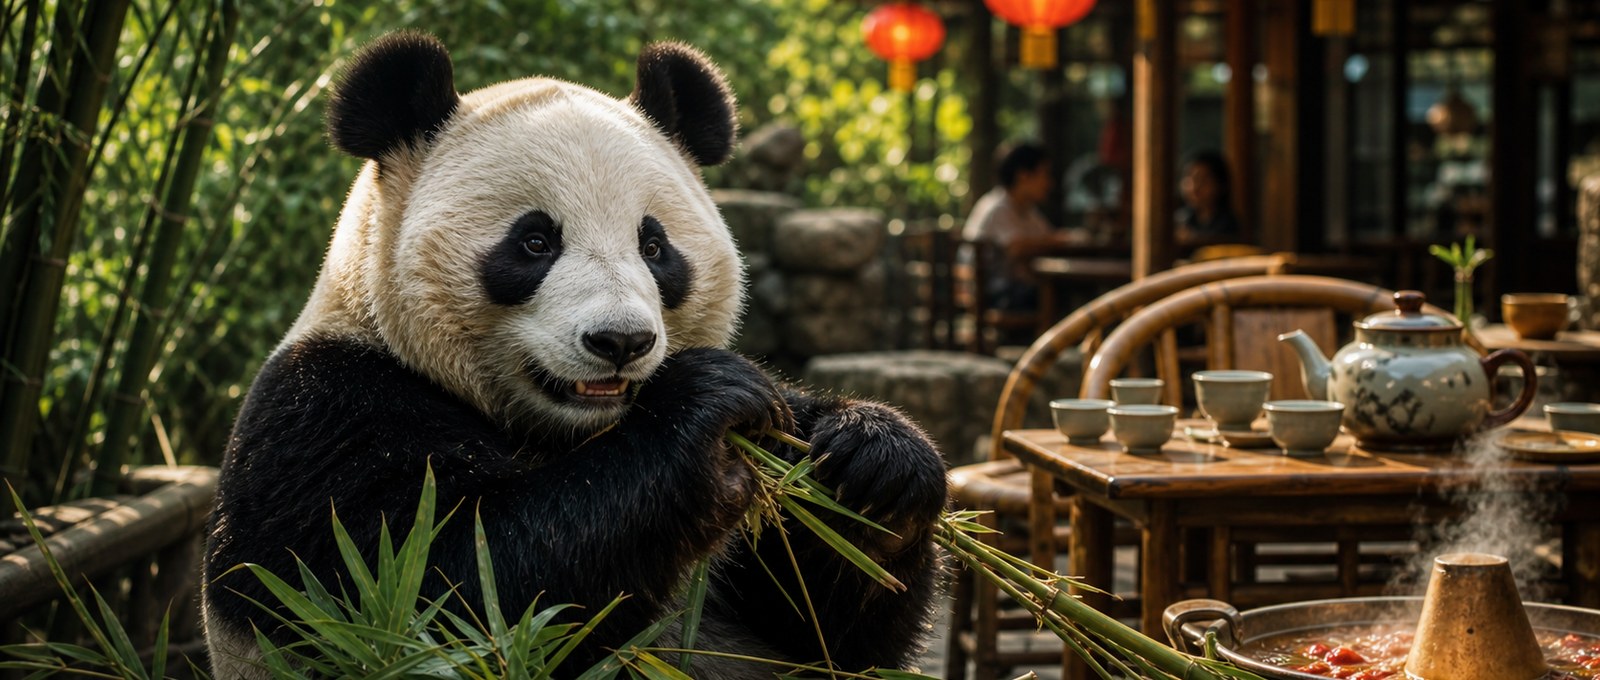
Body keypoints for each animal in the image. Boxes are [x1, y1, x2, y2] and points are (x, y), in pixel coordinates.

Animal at [200, 32, 948, 679]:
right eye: (534, 242)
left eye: (655, 246)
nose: (621, 342)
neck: (573, 435)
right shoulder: (324, 423)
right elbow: (443, 594)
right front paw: (704, 409)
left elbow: (830, 636)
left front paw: (875, 466)